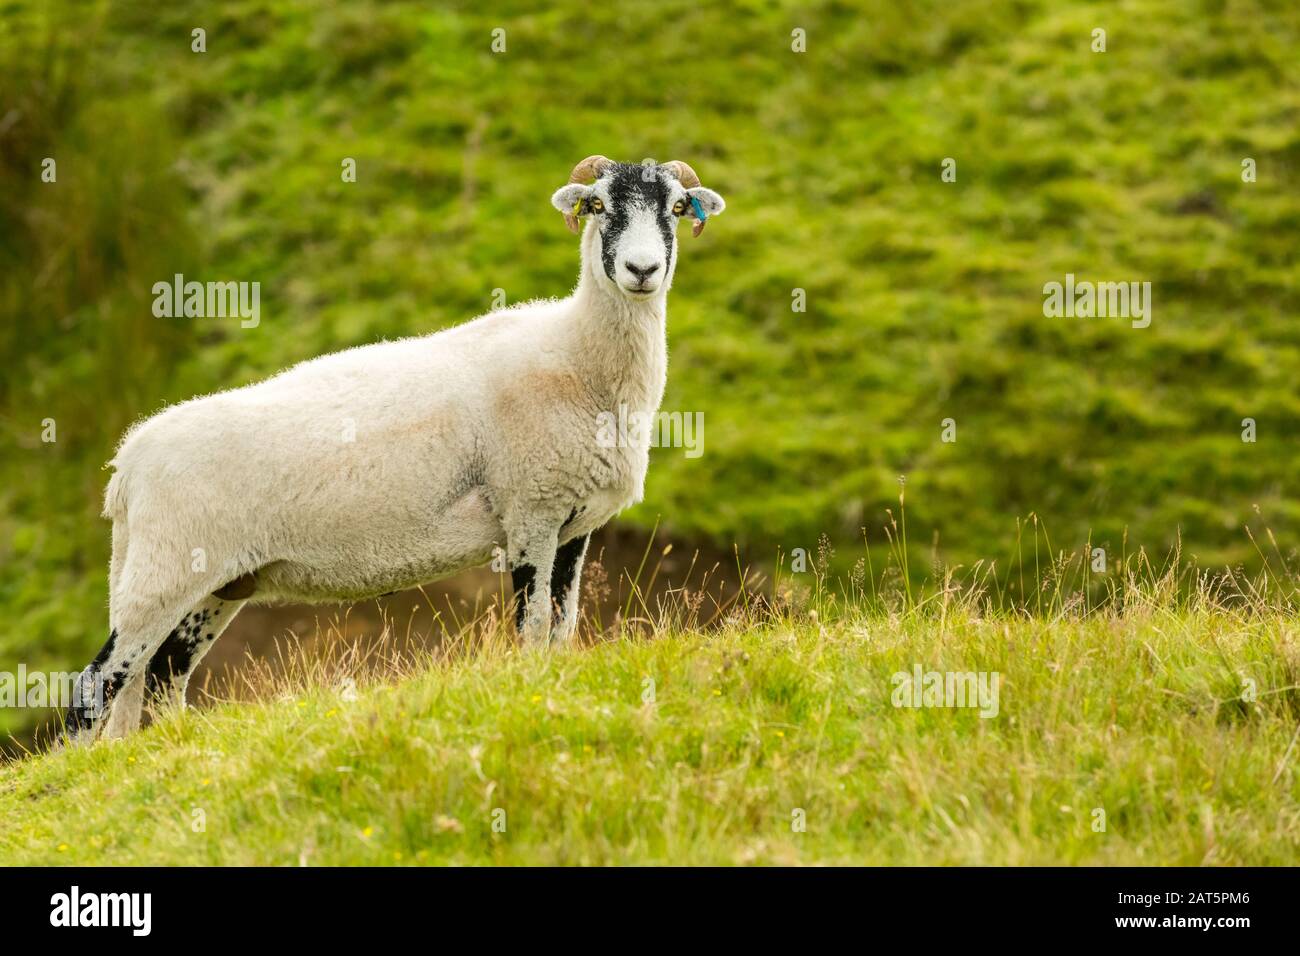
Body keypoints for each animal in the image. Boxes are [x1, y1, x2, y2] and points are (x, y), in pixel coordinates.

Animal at [63, 156, 726, 744]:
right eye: (599, 207)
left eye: (674, 208)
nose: (642, 269)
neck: (578, 357)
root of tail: (126, 467)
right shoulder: (530, 513)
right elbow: (534, 629)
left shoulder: (573, 523)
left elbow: (561, 633)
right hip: (164, 570)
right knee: (96, 686)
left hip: (213, 582)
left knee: (160, 679)